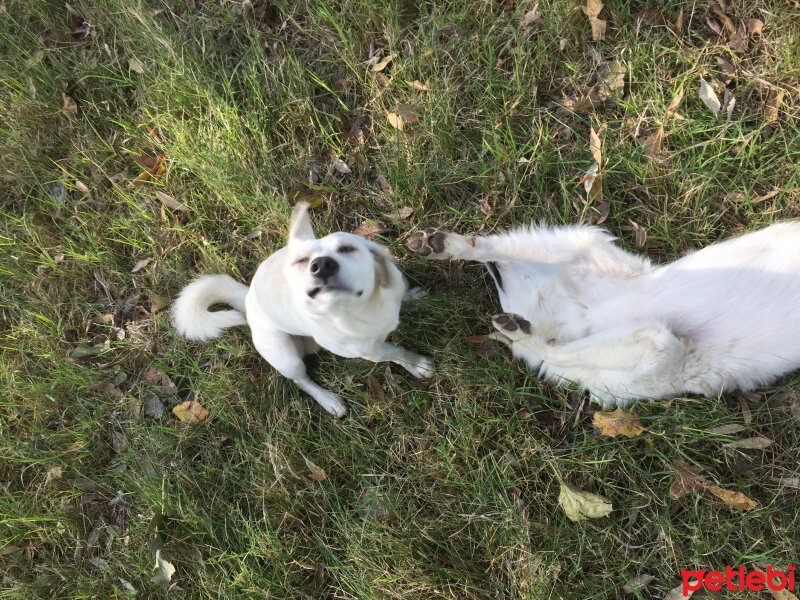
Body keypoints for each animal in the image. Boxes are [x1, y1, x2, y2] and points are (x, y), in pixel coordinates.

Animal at [174, 202, 432, 418]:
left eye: (347, 249)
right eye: (301, 261)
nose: (321, 265)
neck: (360, 308)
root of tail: (247, 298)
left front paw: (412, 298)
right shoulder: (372, 352)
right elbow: (397, 353)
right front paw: (418, 365)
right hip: (287, 359)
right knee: (303, 381)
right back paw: (329, 400)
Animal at [406, 220, 800, 408]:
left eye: (504, 292)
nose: (493, 270)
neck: (584, 314)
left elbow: (552, 350)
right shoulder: (657, 350)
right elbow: (554, 350)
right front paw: (520, 334)